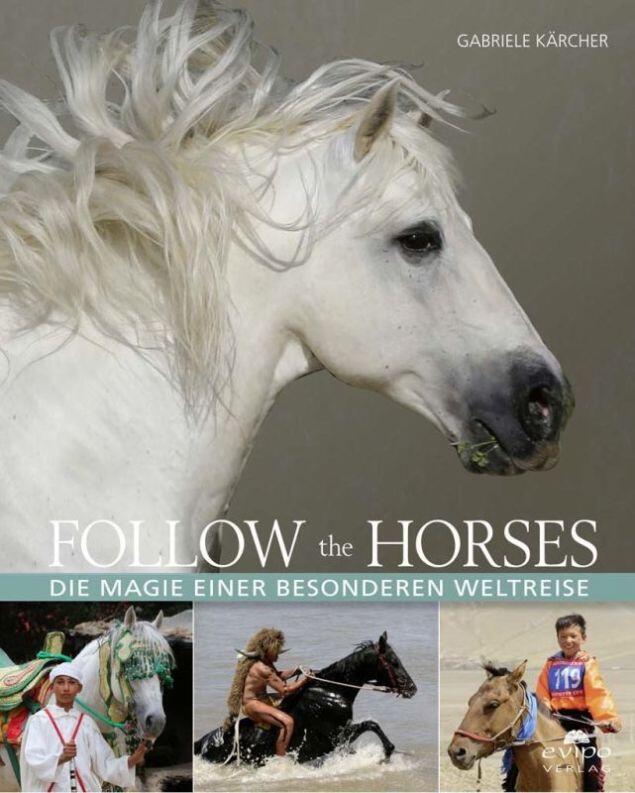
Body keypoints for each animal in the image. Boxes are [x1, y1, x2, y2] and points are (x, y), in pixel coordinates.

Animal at [195, 630, 416, 766]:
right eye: (393, 662)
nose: (412, 688)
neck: (331, 691)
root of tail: (202, 743)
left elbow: (371, 726)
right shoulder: (337, 737)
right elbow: (371, 725)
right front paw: (385, 755)